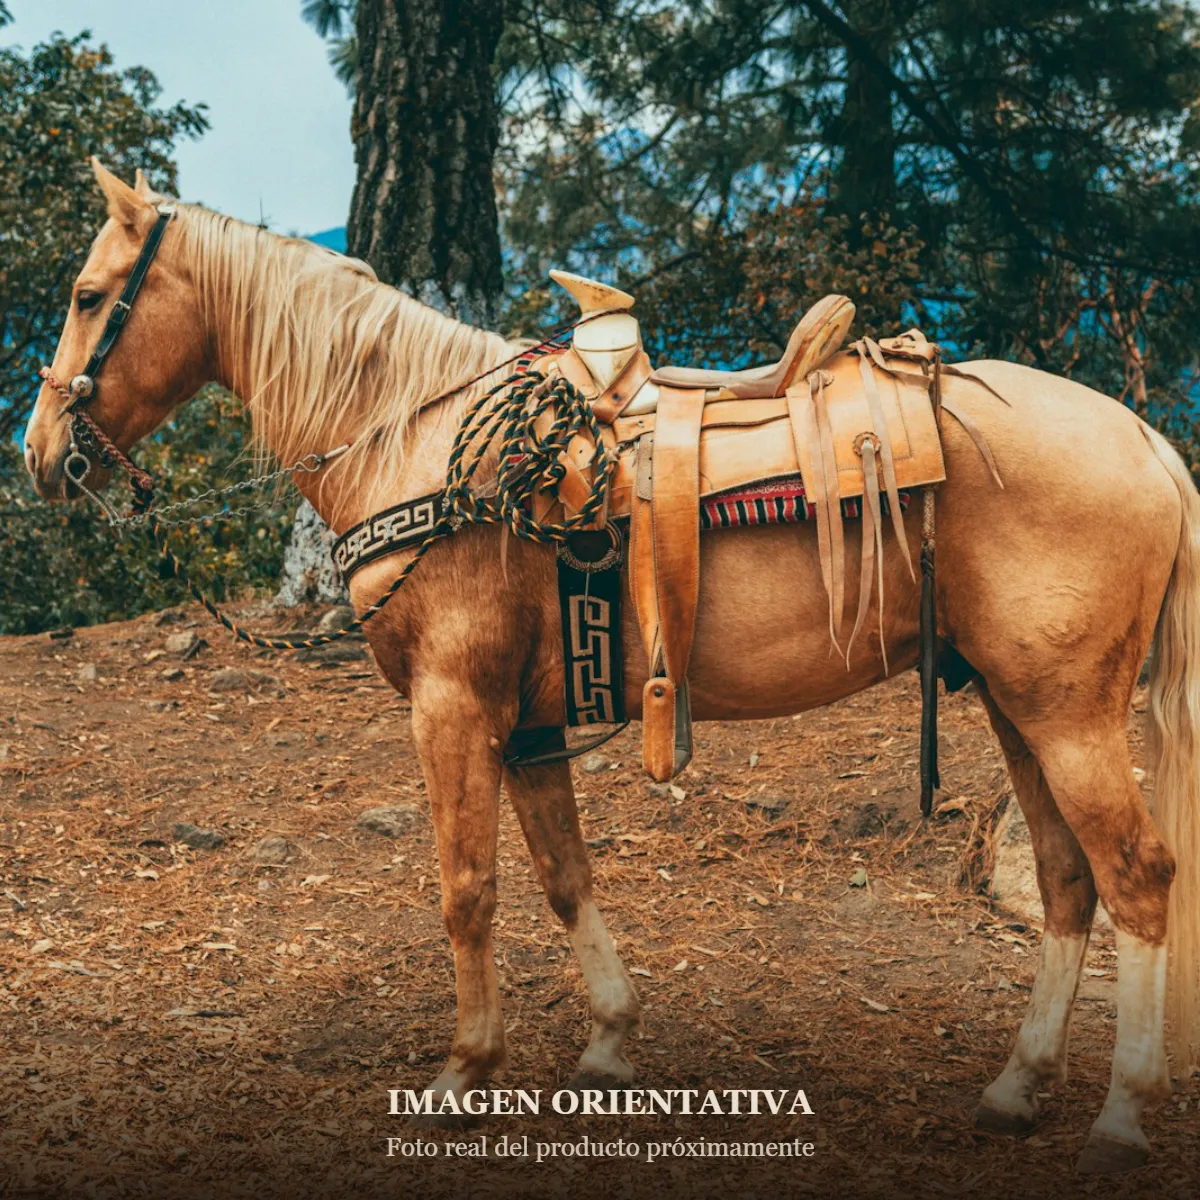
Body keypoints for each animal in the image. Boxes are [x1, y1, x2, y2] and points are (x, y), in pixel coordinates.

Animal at [22, 161, 1200, 1174]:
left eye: (86, 295)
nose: (39, 456)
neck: (421, 442)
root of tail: (1147, 441)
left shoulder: (454, 708)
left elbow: (468, 890)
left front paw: (466, 1072)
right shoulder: (529, 726)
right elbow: (562, 876)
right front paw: (608, 1041)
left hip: (1067, 715)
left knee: (1140, 878)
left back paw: (1121, 1115)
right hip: (1013, 705)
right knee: (1068, 880)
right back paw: (1018, 1086)